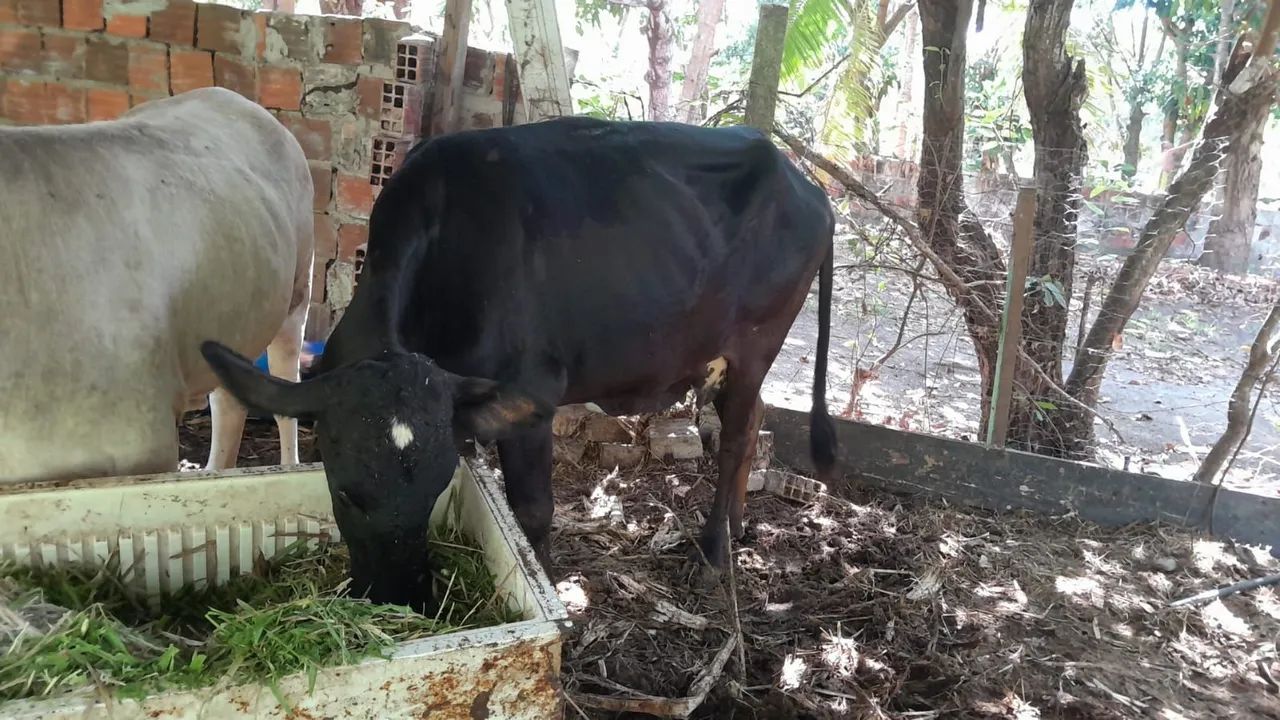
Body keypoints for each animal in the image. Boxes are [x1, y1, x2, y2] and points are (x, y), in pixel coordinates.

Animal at [200, 116, 837, 609]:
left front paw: (550, 589)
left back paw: (713, 554)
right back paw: (738, 526)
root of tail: (806, 185)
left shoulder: (531, 397)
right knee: (754, 422)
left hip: (755, 346)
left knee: (736, 437)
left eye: (433, 490)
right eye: (346, 491)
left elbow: (532, 510)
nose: (400, 597)